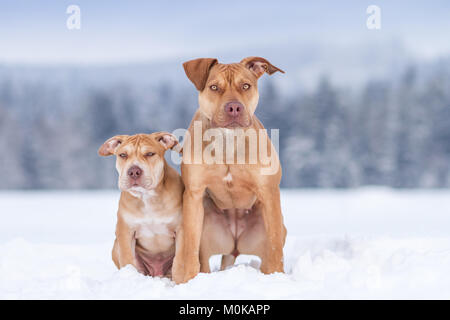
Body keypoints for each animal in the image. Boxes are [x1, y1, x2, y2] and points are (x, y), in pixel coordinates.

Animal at [98, 132, 183, 278]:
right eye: (123, 155)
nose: (133, 171)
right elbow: (127, 258)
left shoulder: (180, 228)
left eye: (150, 154)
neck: (147, 197)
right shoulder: (126, 231)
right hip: (116, 246)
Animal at [172, 57, 288, 282]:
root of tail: (235, 246)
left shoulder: (269, 193)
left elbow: (275, 245)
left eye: (246, 86)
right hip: (207, 227)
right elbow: (189, 246)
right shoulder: (194, 195)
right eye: (214, 87)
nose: (234, 107)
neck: (227, 140)